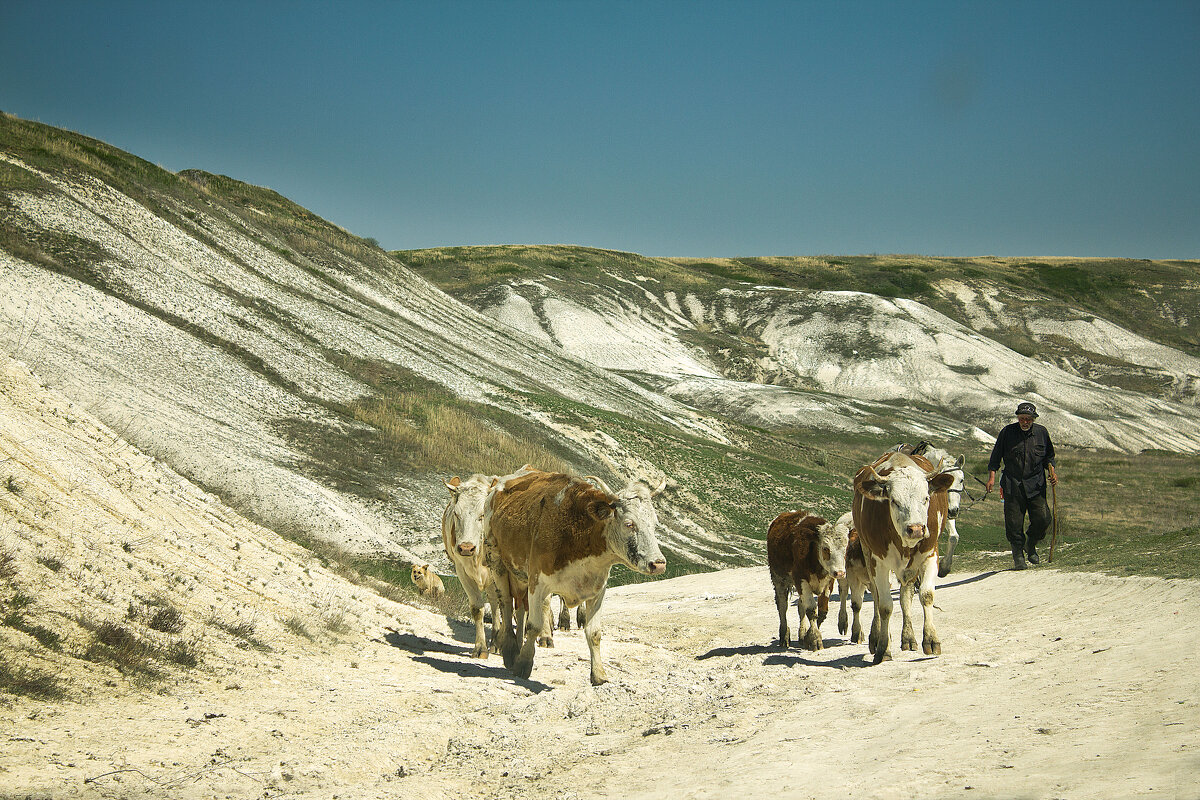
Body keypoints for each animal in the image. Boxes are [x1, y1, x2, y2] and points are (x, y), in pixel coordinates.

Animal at [480, 472, 667, 686]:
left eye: (655, 524)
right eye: (629, 523)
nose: (658, 563)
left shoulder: (598, 589)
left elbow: (594, 632)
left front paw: (599, 674)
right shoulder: (538, 582)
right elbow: (534, 625)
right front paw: (523, 664)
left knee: (518, 608)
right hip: (496, 561)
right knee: (505, 603)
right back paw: (510, 651)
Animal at [763, 513, 849, 652]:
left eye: (845, 548)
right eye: (826, 548)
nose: (840, 573)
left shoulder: (828, 582)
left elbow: (822, 612)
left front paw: (808, 636)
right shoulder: (801, 580)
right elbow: (811, 610)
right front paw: (815, 639)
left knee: (800, 606)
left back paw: (802, 634)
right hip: (778, 579)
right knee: (782, 606)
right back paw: (784, 636)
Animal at [854, 450, 955, 662]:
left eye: (926, 498)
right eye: (894, 501)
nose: (916, 529)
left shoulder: (930, 554)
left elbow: (926, 595)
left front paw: (931, 640)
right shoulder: (878, 562)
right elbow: (884, 605)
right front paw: (884, 648)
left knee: (905, 596)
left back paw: (908, 637)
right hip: (867, 553)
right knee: (876, 596)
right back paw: (877, 637)